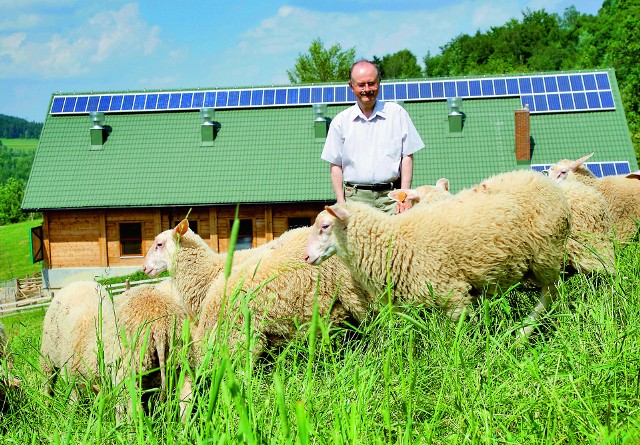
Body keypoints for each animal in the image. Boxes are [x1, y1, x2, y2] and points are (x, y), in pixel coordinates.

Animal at [302, 168, 572, 334]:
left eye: (325, 226)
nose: (306, 257)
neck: (394, 240)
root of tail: (541, 179)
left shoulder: (453, 296)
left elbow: (458, 337)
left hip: (546, 252)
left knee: (552, 292)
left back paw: (523, 332)